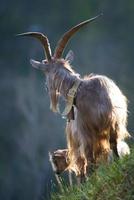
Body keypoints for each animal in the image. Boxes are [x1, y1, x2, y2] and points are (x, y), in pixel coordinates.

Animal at [18, 13, 130, 183]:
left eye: (46, 73)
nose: (46, 87)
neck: (80, 90)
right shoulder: (112, 126)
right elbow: (112, 151)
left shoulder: (85, 135)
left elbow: (89, 163)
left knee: (88, 165)